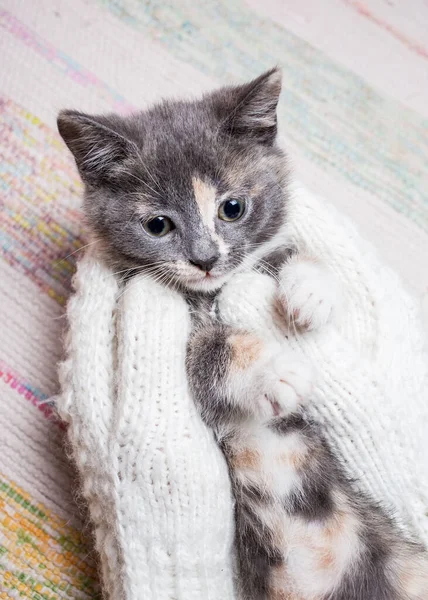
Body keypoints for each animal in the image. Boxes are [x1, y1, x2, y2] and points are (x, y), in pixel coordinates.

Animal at [57, 69, 428, 596]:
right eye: (158, 225)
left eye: (232, 208)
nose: (206, 258)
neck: (210, 294)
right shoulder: (180, 337)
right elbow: (212, 352)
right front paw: (274, 370)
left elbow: (292, 255)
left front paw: (312, 292)